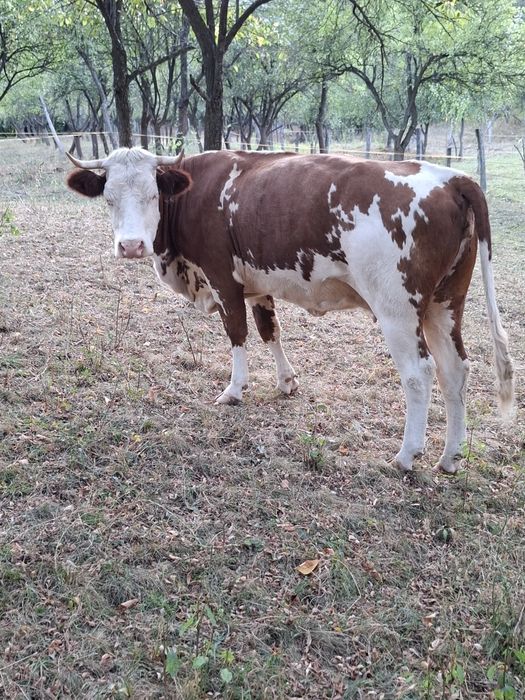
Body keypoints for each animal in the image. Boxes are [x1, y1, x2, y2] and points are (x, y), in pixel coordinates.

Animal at [66, 147, 514, 474]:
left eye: (152, 195)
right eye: (108, 198)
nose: (130, 246)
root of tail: (452, 178)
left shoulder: (222, 277)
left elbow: (238, 334)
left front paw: (235, 390)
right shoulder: (256, 283)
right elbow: (270, 330)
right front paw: (286, 382)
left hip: (397, 311)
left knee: (419, 374)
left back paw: (407, 455)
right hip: (445, 305)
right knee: (454, 370)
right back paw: (450, 457)